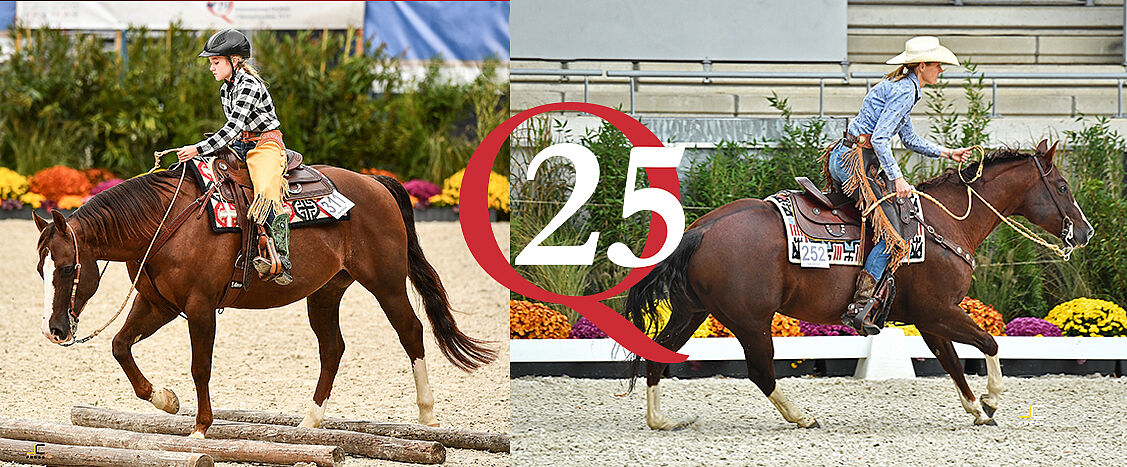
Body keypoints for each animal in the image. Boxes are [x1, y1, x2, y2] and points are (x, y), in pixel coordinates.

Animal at [33, 162, 496, 438]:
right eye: (40, 269)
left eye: (67, 268)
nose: (55, 330)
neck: (163, 223)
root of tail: (374, 183)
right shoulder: (157, 304)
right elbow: (120, 346)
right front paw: (165, 399)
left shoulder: (199, 308)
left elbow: (200, 367)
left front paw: (200, 428)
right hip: (326, 292)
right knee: (333, 349)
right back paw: (309, 422)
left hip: (386, 283)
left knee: (411, 332)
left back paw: (428, 416)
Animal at [625, 139, 1094, 429]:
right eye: (1062, 186)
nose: (1085, 232)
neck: (942, 226)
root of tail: (701, 229)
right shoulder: (939, 310)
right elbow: (989, 344)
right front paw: (992, 400)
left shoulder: (929, 319)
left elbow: (952, 362)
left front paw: (977, 409)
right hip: (750, 319)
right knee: (760, 371)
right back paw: (802, 416)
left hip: (692, 310)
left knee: (658, 354)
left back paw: (661, 420)